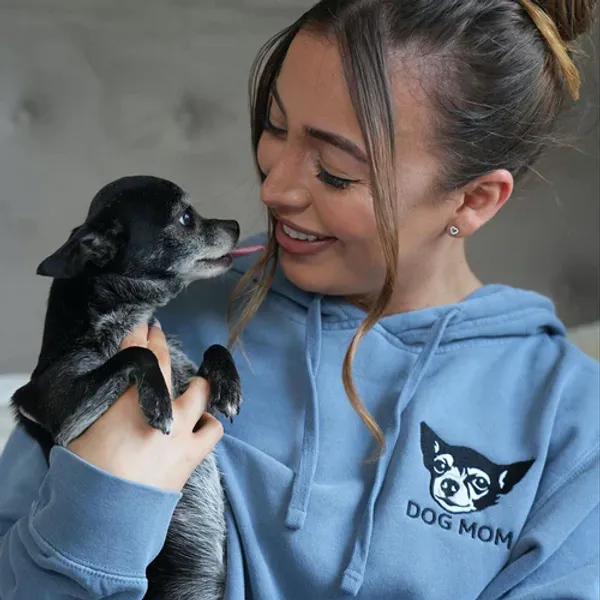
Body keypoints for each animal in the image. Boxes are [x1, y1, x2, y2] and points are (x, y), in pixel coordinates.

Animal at [10, 176, 262, 600]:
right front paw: (158, 400)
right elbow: (138, 354)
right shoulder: (55, 408)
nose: (236, 224)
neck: (124, 315)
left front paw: (228, 385)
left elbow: (215, 347)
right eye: (186, 218)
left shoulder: (188, 382)